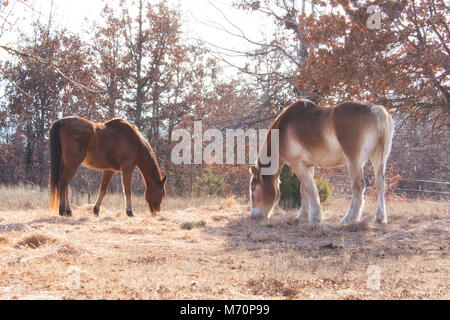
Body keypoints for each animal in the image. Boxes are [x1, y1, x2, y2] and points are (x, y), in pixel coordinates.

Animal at [250, 100, 394, 225]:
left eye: (253, 188)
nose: (254, 215)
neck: (284, 127)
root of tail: (376, 110)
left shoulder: (297, 164)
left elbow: (310, 188)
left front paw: (315, 218)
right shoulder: (307, 166)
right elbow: (304, 189)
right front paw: (303, 216)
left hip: (354, 161)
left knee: (358, 186)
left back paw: (350, 218)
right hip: (379, 157)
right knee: (380, 184)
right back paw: (380, 218)